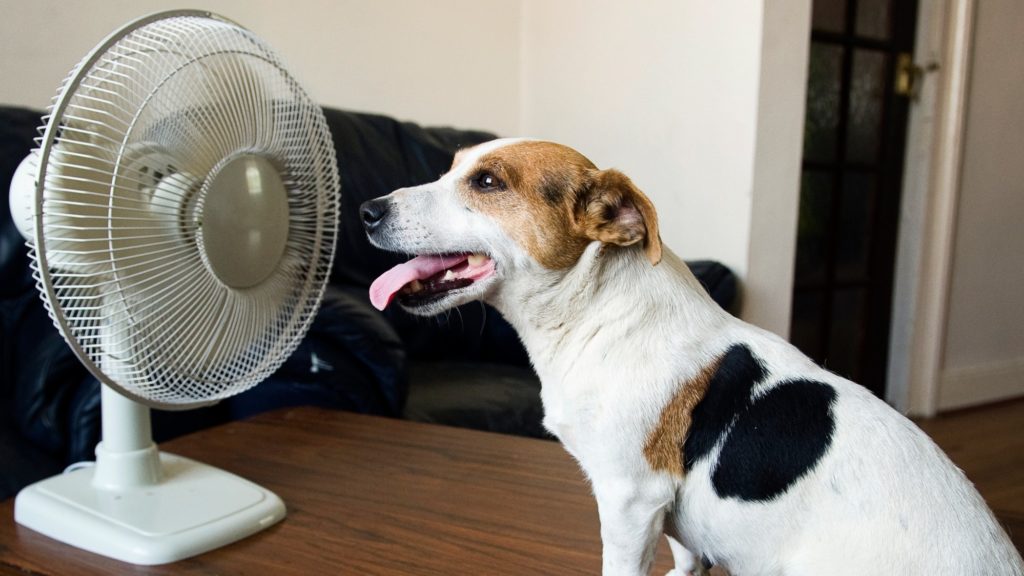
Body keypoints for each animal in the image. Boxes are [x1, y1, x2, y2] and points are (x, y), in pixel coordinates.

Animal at [362, 139, 1024, 573]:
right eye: (451, 167)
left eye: (488, 183)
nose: (367, 210)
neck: (597, 313)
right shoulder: (677, 522)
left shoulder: (630, 501)